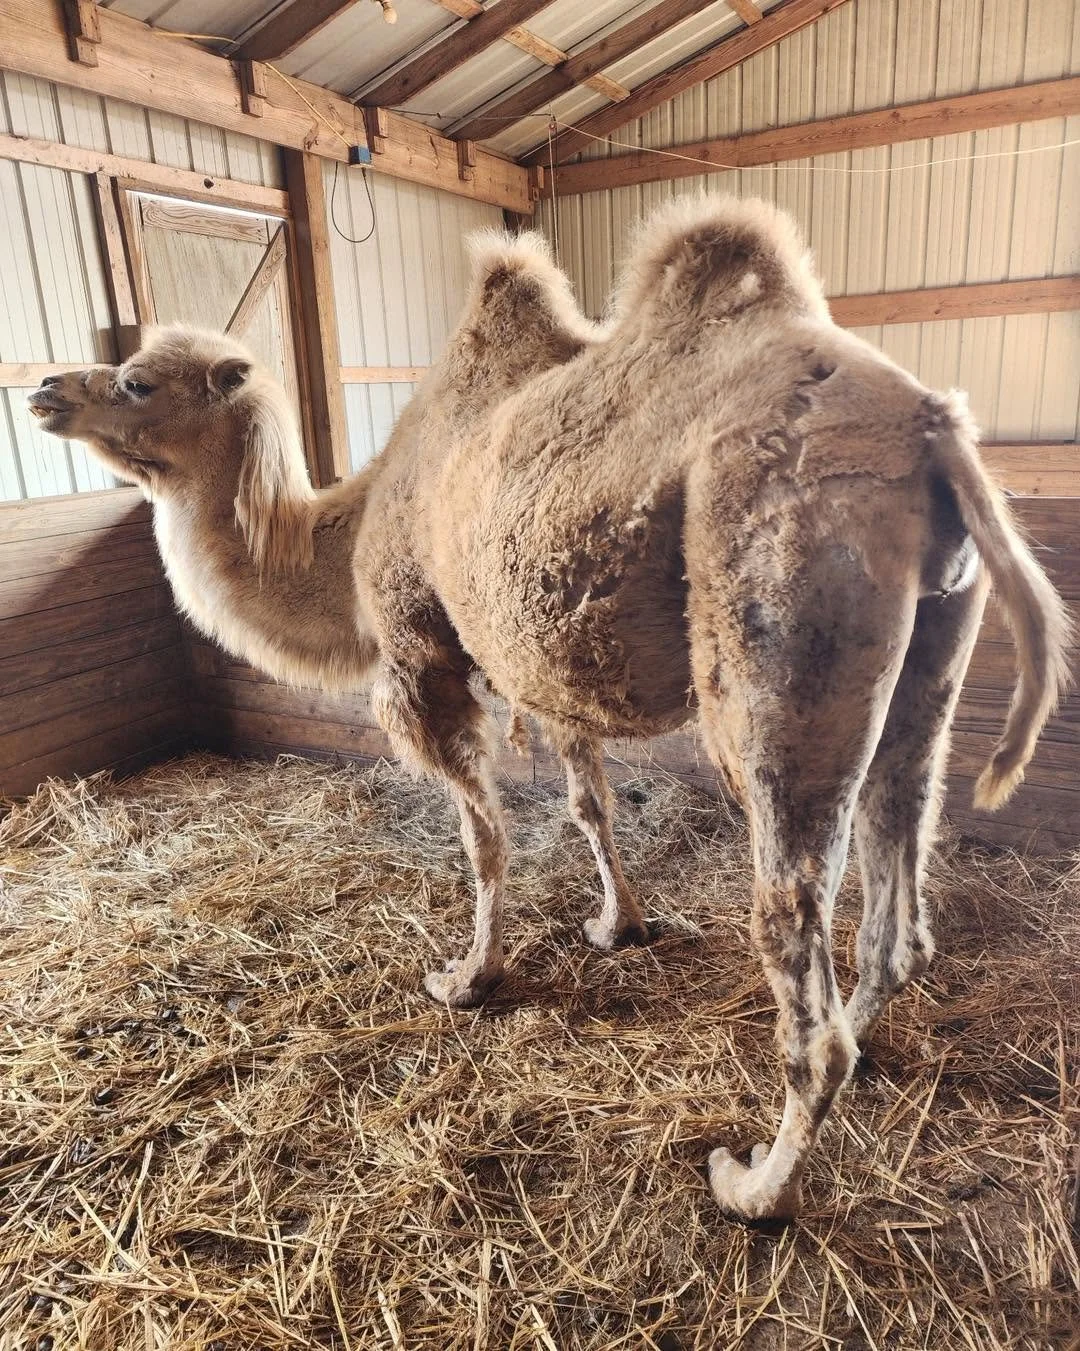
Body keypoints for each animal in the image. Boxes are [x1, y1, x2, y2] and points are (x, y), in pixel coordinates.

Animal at [29, 195, 1070, 1222]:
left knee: (793, 924)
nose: (44, 388)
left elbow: (484, 836)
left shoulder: (421, 651)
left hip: (782, 623)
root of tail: (934, 431)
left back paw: (754, 1182)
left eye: (135, 382)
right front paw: (620, 924)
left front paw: (468, 976)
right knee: (901, 894)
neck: (347, 531)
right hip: (937, 643)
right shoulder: (545, 661)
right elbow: (587, 803)